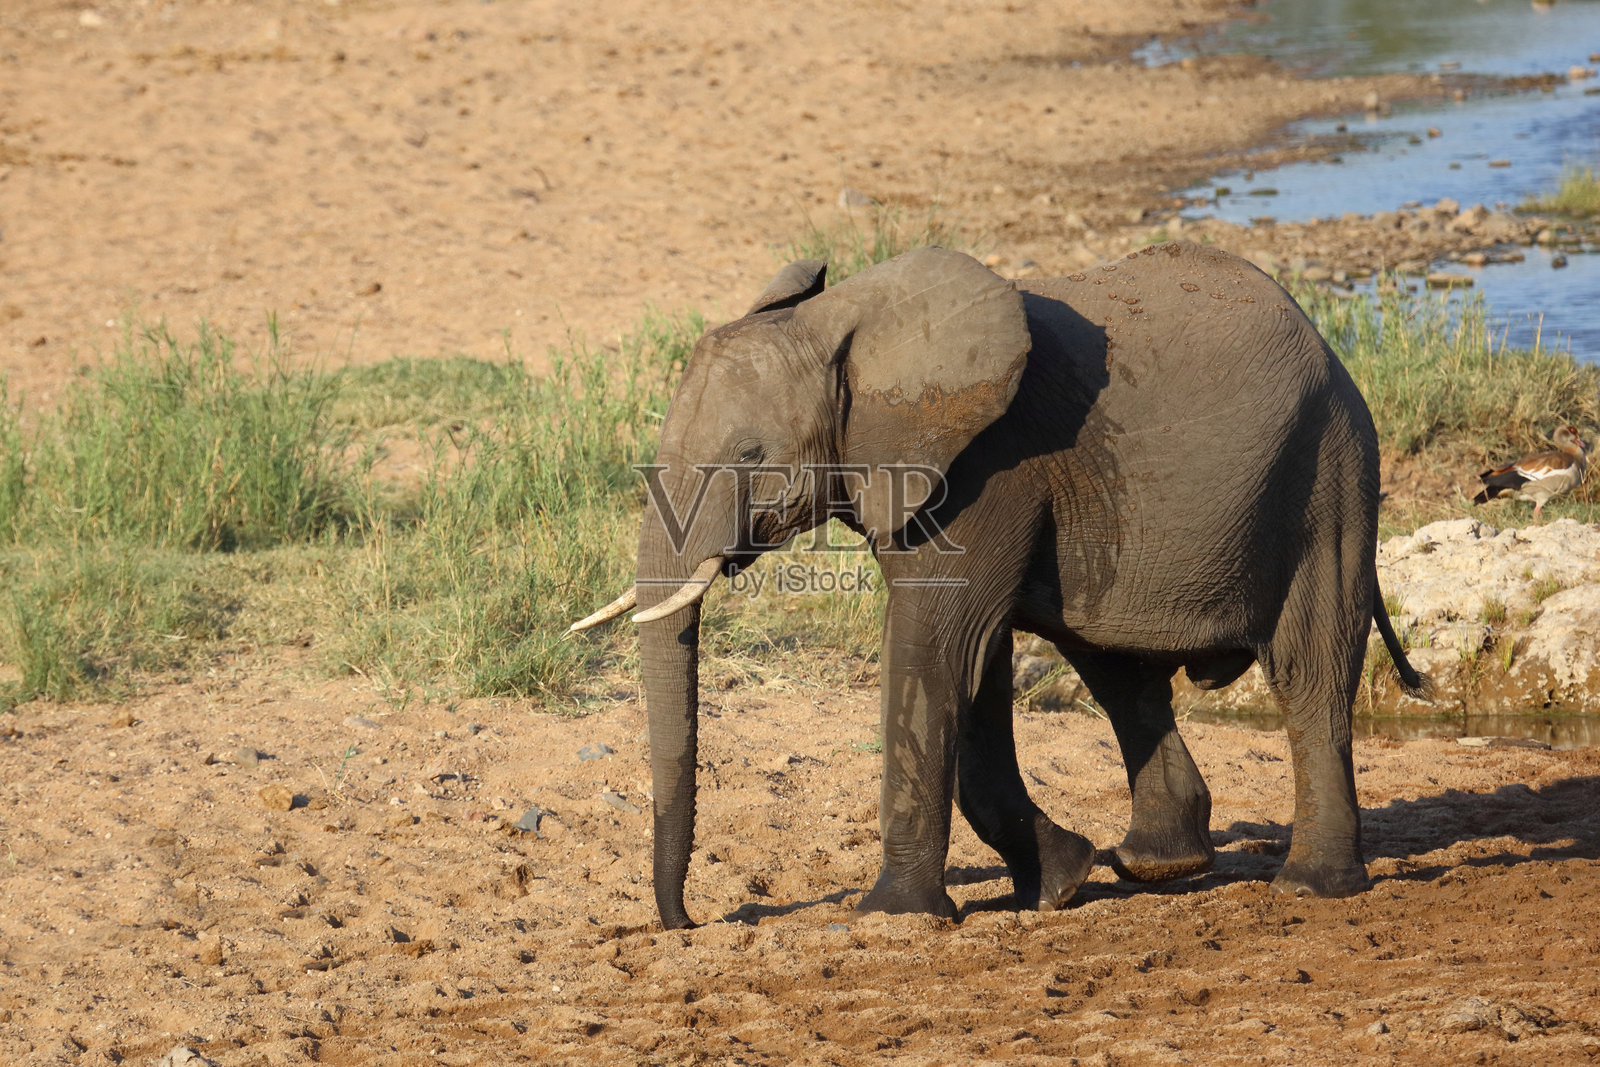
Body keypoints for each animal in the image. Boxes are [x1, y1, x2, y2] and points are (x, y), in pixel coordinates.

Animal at [571, 242, 1429, 930]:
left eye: (750, 454)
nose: (690, 922)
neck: (843, 323)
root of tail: (1324, 344)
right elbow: (972, 668)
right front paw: (1061, 881)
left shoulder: (991, 466)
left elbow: (937, 648)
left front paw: (895, 917)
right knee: (1116, 668)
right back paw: (1158, 865)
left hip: (1329, 471)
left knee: (1308, 668)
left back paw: (1311, 887)